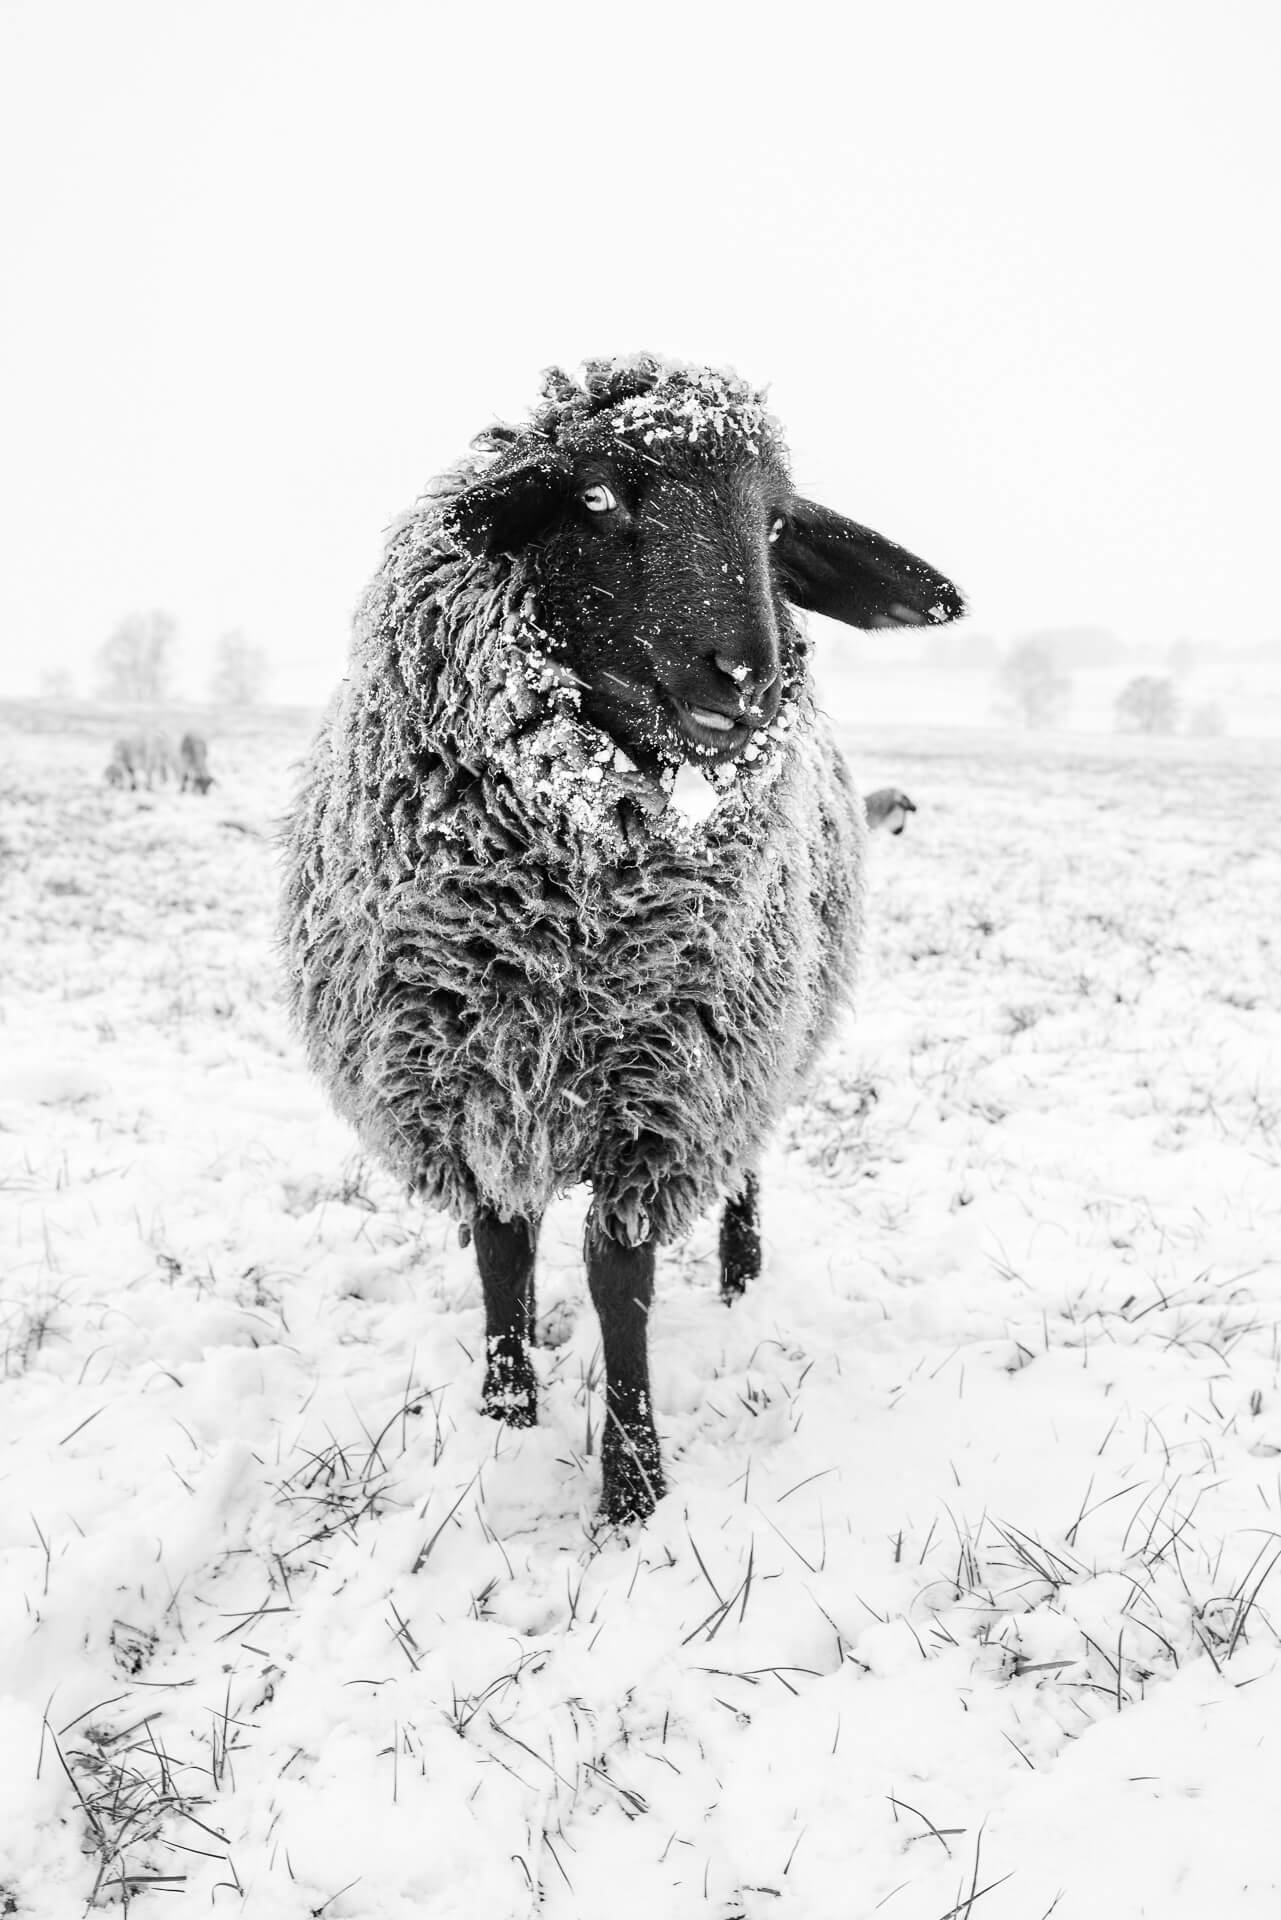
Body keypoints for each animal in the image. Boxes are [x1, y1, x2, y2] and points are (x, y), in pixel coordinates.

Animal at [281, 355, 963, 1523]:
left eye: (775, 523)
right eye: (596, 496)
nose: (748, 675)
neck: (561, 930)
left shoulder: (667, 1097)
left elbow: (618, 1280)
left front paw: (632, 1487)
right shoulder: (465, 1076)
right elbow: (503, 1253)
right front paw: (506, 1413)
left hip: (752, 1049)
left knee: (743, 1172)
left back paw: (740, 1276)